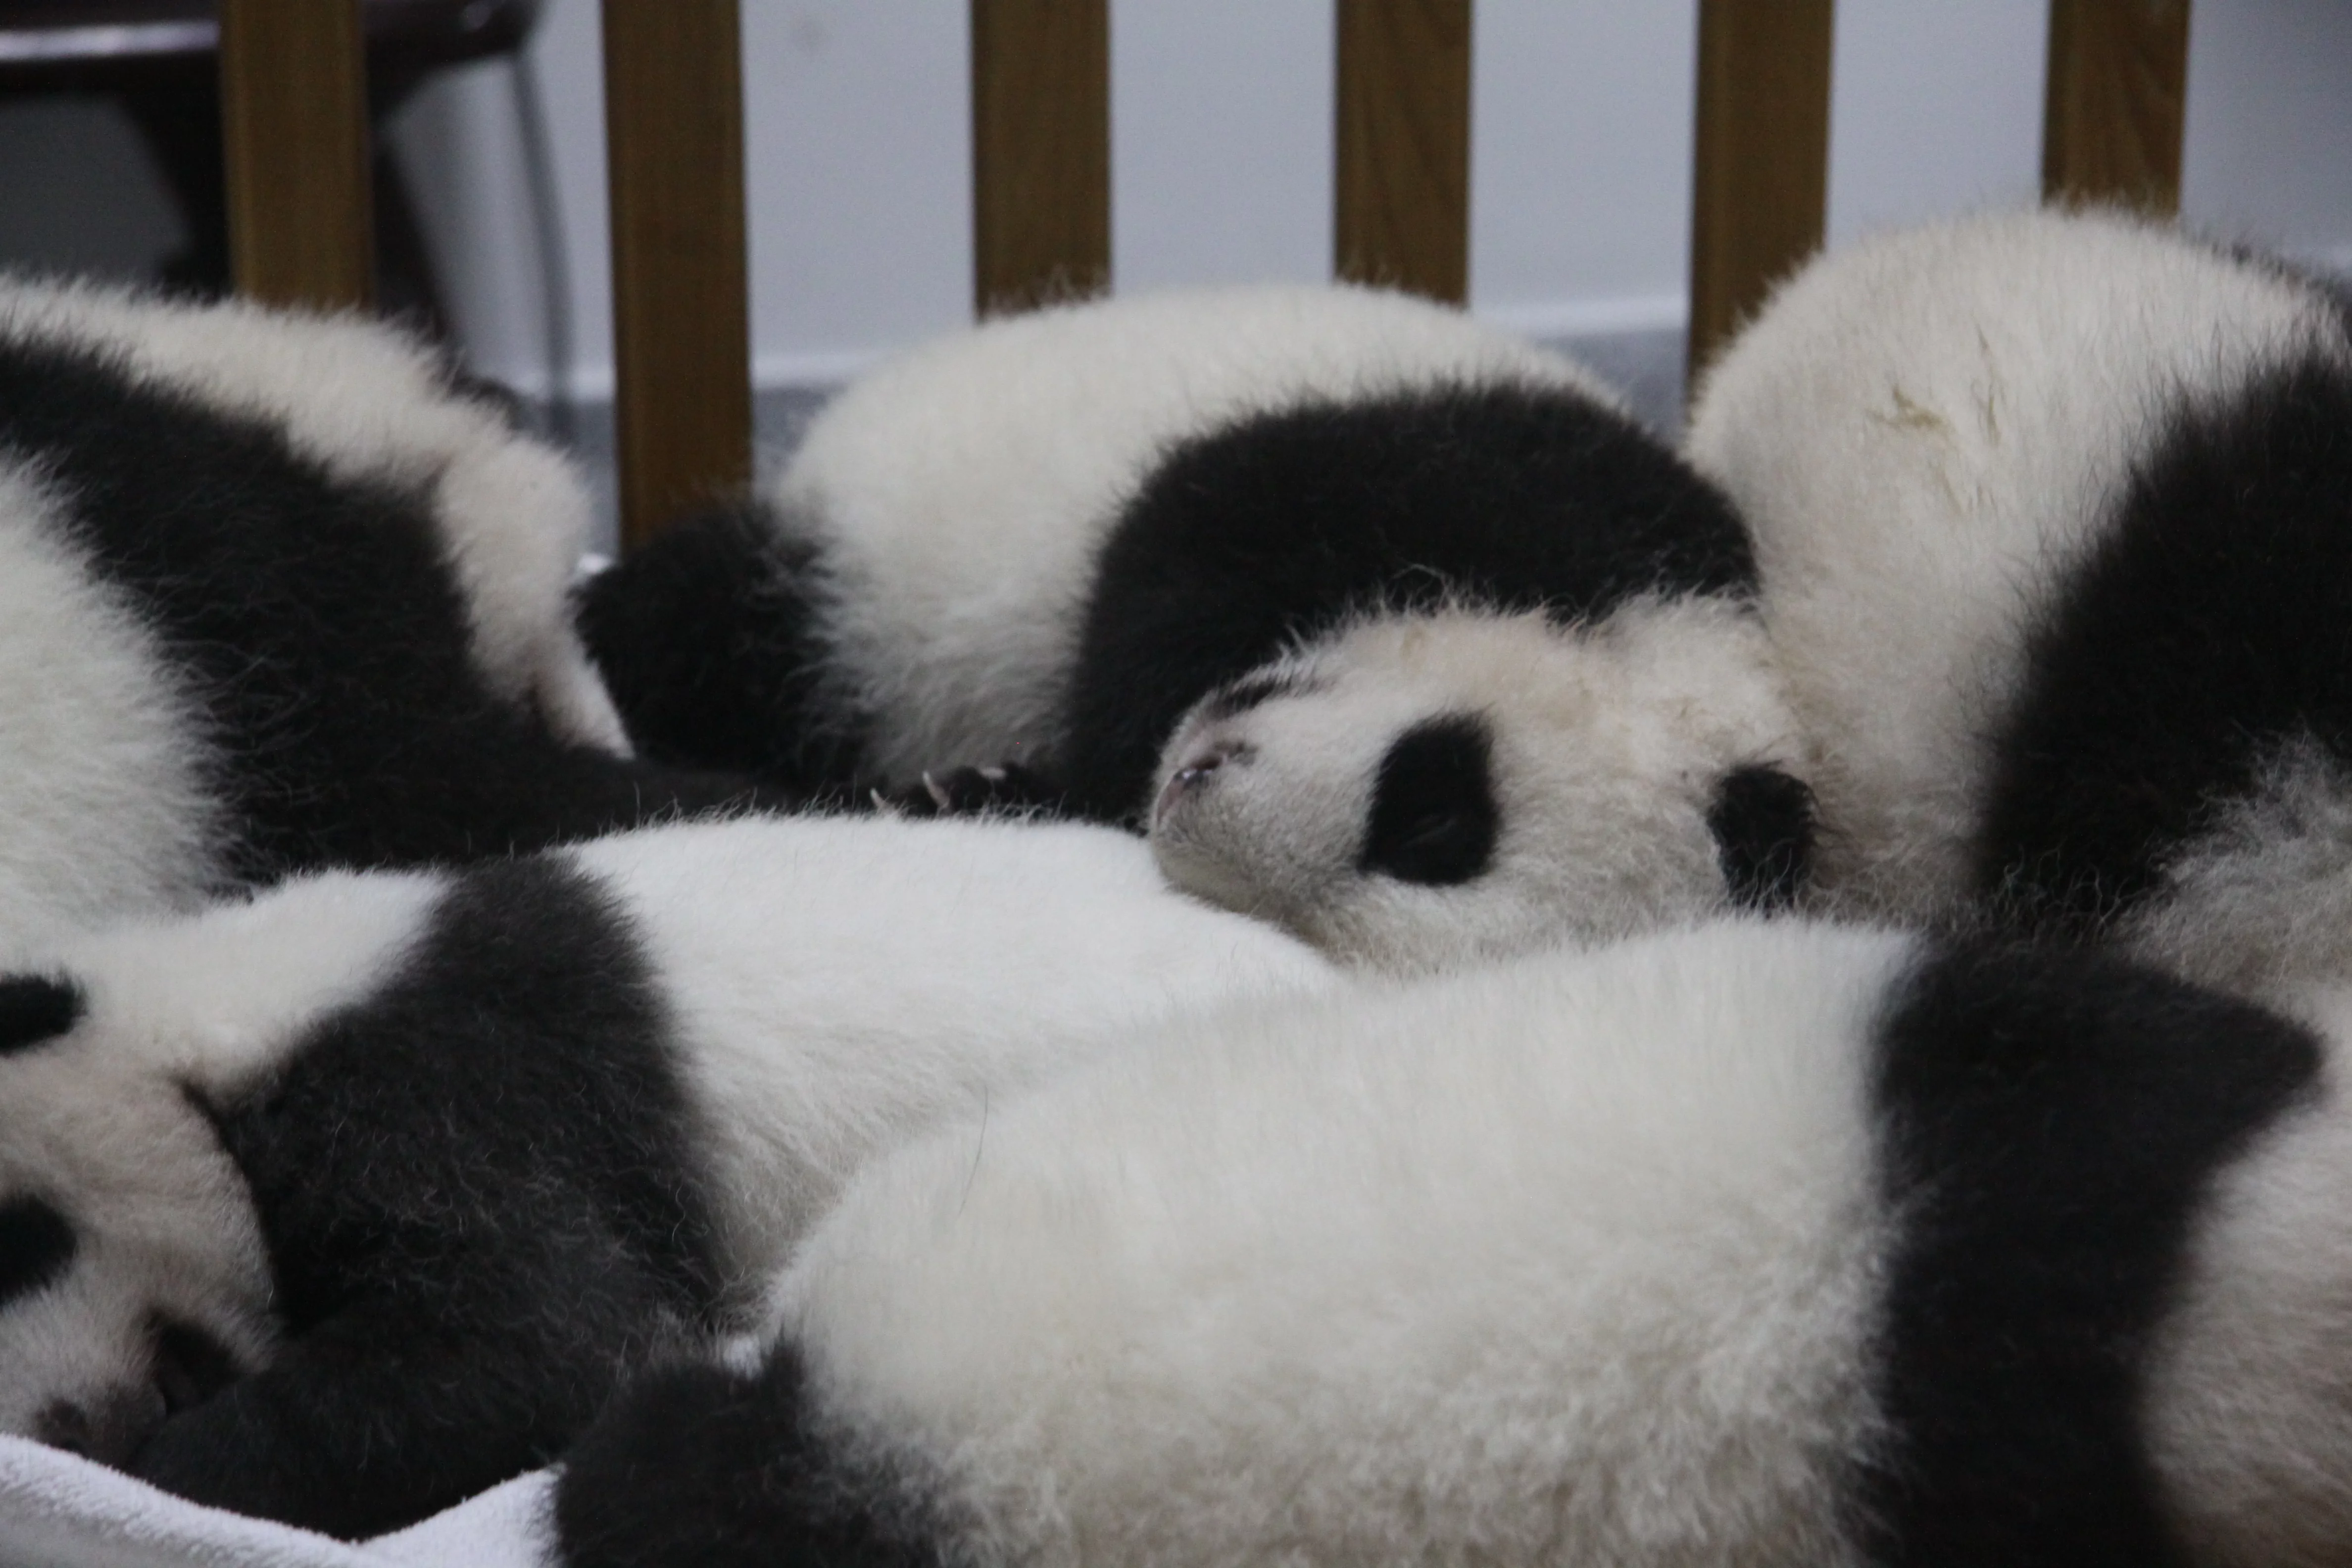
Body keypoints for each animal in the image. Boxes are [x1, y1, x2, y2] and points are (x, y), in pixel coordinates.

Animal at [0, 811, 1331, 1537]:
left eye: (16, 1240)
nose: (62, 1421)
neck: (204, 1020)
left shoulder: (454, 1075)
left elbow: (549, 1336)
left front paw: (162, 1469)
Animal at [580, 284, 1815, 972]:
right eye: (1435, 820)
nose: (1194, 799)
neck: (1658, 631)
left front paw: (991, 790)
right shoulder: (1523, 473)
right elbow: (1179, 547)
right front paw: (1020, 777)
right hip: (856, 570)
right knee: (707, 620)